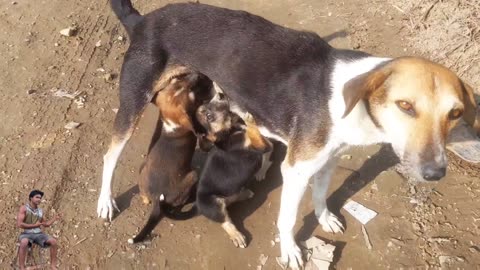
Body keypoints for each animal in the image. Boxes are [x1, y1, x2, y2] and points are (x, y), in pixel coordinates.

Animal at [130, 71, 215, 245]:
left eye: (177, 81)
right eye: (190, 91)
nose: (196, 73)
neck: (172, 124)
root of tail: (157, 199)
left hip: (143, 166)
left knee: (144, 197)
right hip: (193, 175)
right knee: (179, 203)